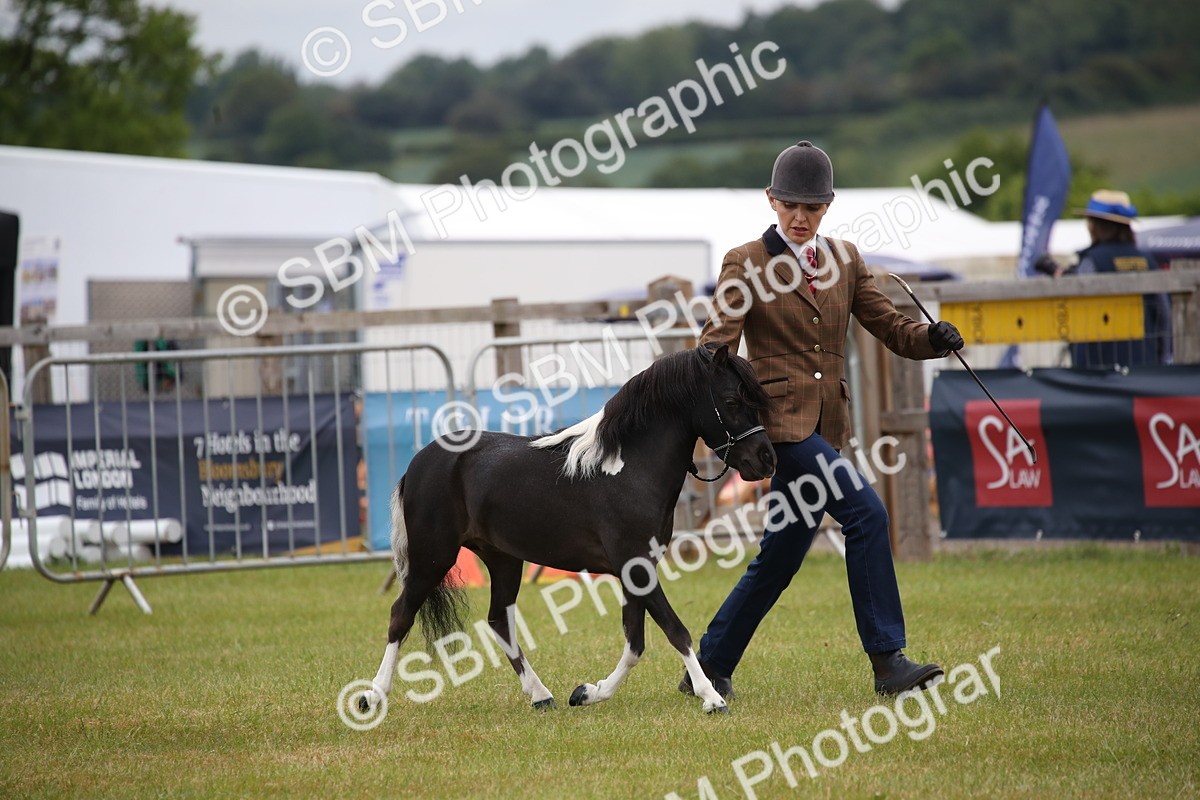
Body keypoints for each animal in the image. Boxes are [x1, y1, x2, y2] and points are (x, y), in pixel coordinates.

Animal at [357, 343, 776, 715]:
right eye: (732, 401)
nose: (766, 459)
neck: (628, 467)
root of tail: (419, 462)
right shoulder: (636, 565)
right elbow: (675, 631)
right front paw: (712, 698)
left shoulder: (635, 571)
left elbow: (635, 641)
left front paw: (588, 693)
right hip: (433, 556)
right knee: (400, 615)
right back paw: (373, 697)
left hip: (503, 559)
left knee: (498, 621)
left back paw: (541, 695)